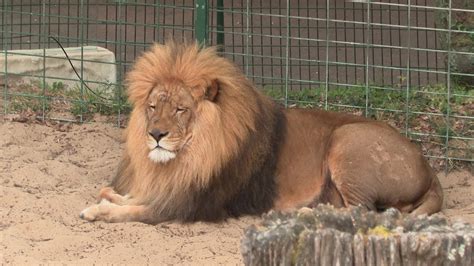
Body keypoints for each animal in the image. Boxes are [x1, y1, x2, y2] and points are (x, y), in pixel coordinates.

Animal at [79, 40, 442, 223]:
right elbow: (128, 195)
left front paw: (98, 210)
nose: (155, 134)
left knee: (363, 211)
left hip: (348, 140)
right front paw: (110, 195)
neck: (190, 156)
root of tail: (428, 167)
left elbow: (134, 211)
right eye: (153, 107)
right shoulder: (172, 187)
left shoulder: (188, 205)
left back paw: (308, 213)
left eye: (181, 109)